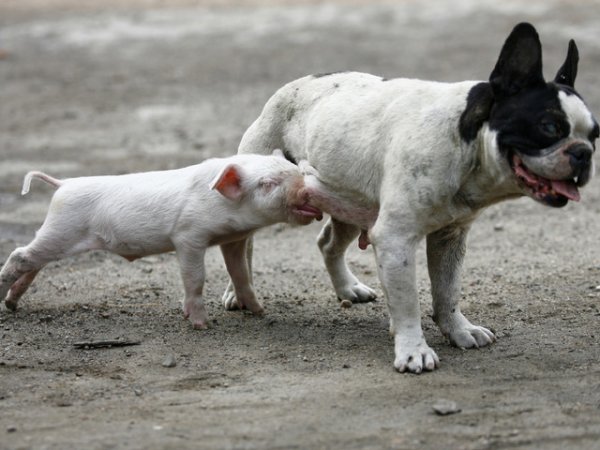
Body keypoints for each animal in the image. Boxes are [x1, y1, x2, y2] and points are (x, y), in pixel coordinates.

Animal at [0, 151, 324, 326]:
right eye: (267, 184)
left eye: (295, 170)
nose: (308, 190)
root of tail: (63, 183)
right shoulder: (188, 236)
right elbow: (195, 278)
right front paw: (201, 324)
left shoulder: (233, 239)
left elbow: (240, 272)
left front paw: (259, 311)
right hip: (62, 228)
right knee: (19, 254)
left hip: (57, 235)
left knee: (33, 262)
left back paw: (12, 304)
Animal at [223, 22, 596, 372]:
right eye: (549, 127)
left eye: (596, 134)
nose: (584, 152)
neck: (466, 141)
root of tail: (293, 85)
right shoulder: (395, 238)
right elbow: (408, 302)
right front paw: (414, 351)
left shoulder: (450, 237)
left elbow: (447, 290)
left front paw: (459, 330)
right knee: (242, 246)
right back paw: (237, 292)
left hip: (349, 200)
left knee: (329, 242)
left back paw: (348, 288)